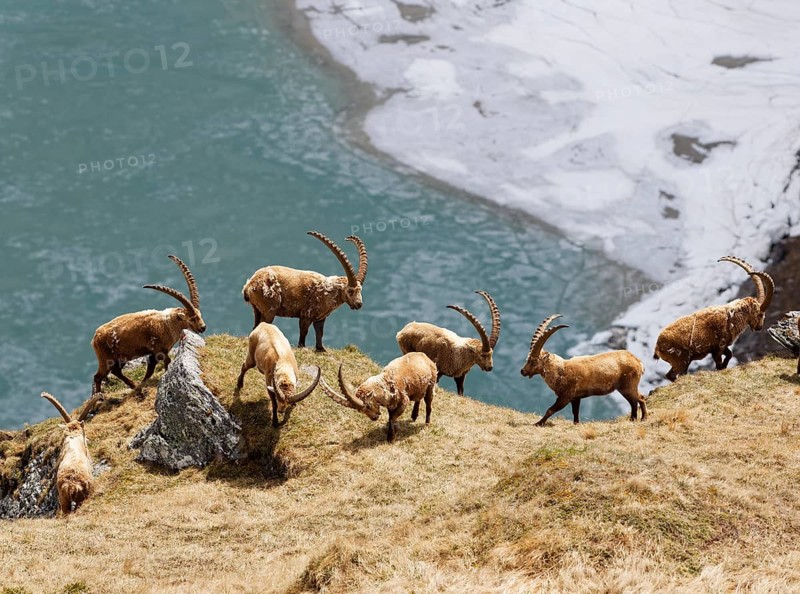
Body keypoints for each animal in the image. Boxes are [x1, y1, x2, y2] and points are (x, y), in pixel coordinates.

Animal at [91, 255, 206, 394]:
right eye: (192, 319)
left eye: (200, 315)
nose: (203, 327)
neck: (167, 325)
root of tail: (95, 338)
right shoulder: (157, 349)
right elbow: (166, 361)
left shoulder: (155, 353)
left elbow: (150, 369)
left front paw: (145, 383)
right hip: (106, 358)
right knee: (98, 376)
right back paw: (100, 395)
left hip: (120, 357)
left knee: (115, 371)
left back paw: (134, 386)